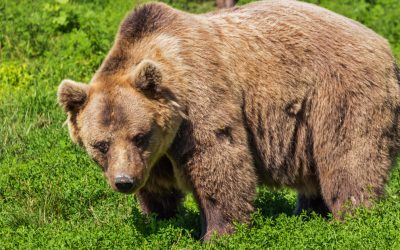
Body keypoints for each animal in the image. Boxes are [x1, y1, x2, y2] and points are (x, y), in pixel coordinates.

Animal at [57, 0, 400, 241]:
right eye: (100, 144)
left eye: (139, 135)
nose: (124, 181)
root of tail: (384, 44)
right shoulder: (156, 154)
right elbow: (157, 186)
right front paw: (160, 217)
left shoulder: (200, 101)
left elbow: (219, 162)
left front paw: (217, 232)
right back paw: (307, 212)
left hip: (340, 94)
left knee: (349, 157)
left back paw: (353, 216)